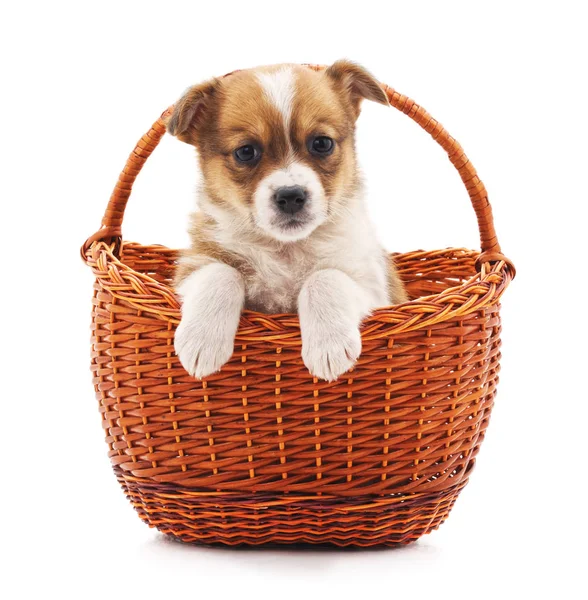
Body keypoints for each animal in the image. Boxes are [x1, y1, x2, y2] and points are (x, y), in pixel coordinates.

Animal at [168, 61, 406, 380]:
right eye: (246, 152)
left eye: (322, 143)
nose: (291, 196)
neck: (286, 249)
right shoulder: (194, 263)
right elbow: (221, 273)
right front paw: (201, 340)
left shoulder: (373, 287)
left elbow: (324, 277)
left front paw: (328, 346)